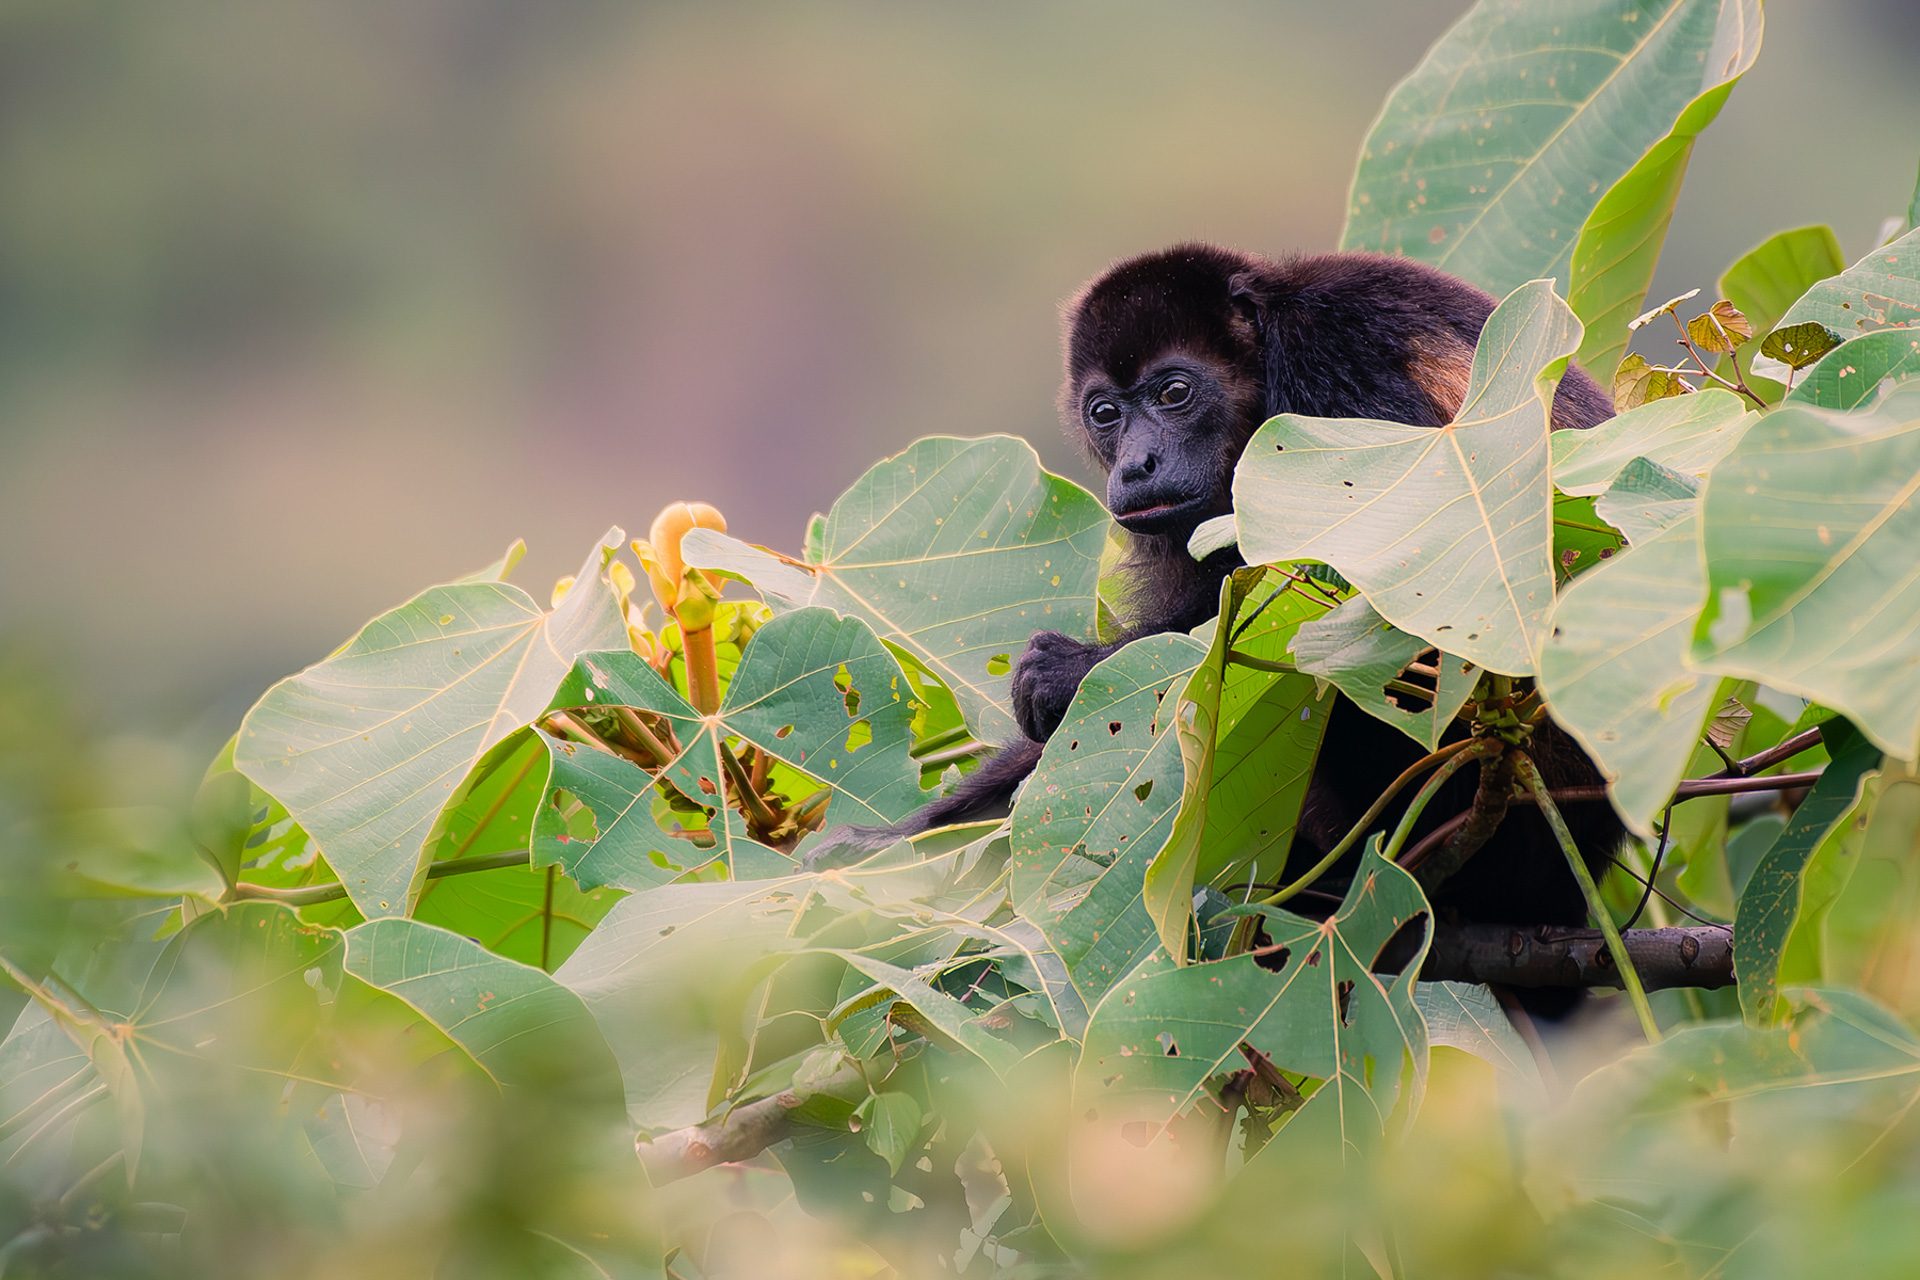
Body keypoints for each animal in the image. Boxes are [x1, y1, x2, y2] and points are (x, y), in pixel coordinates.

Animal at [811, 244, 1621, 947]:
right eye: (1105, 413)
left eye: (1174, 392)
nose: (1136, 465)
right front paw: (900, 841)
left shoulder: (1338, 379)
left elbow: (1393, 600)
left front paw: (1063, 670)